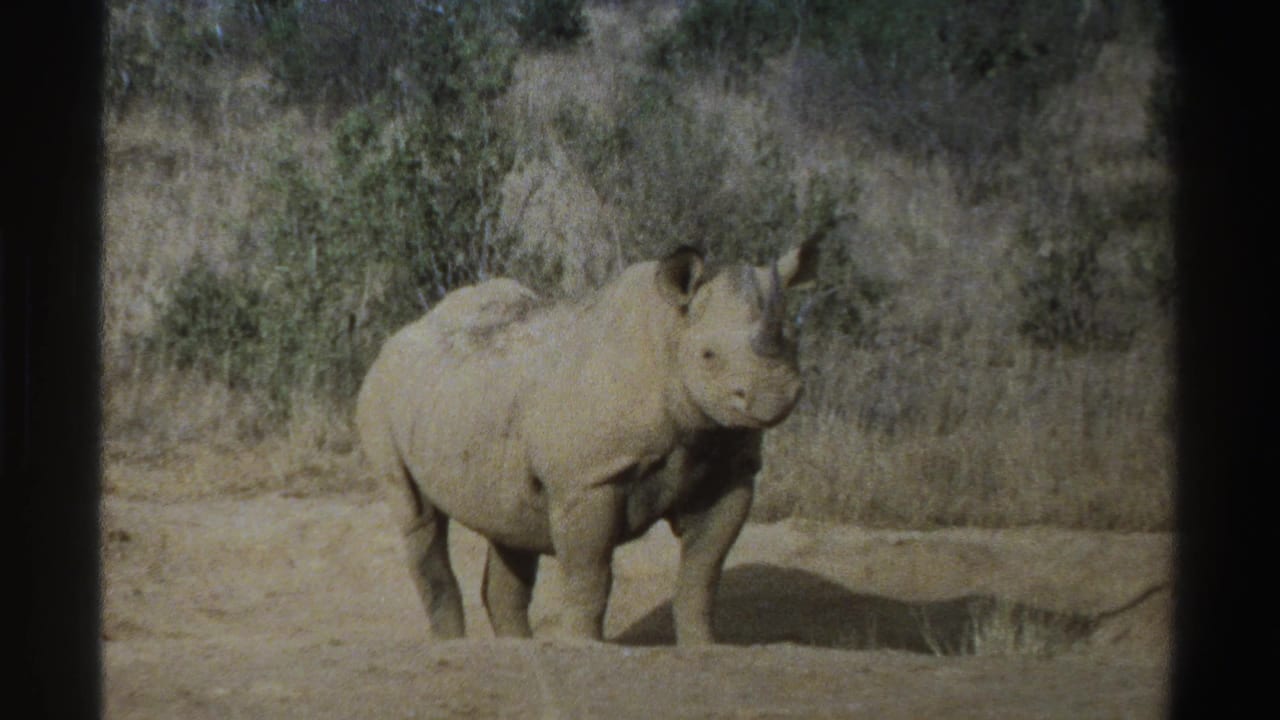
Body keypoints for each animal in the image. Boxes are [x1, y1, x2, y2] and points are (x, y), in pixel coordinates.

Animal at [355, 239, 819, 644]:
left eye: (794, 343)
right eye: (708, 356)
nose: (774, 395)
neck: (670, 335)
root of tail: (399, 335)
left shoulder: (729, 470)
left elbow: (702, 574)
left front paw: (704, 648)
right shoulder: (588, 479)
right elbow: (590, 575)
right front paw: (583, 646)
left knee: (509, 525)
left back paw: (517, 649)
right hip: (382, 394)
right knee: (418, 516)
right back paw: (453, 644)